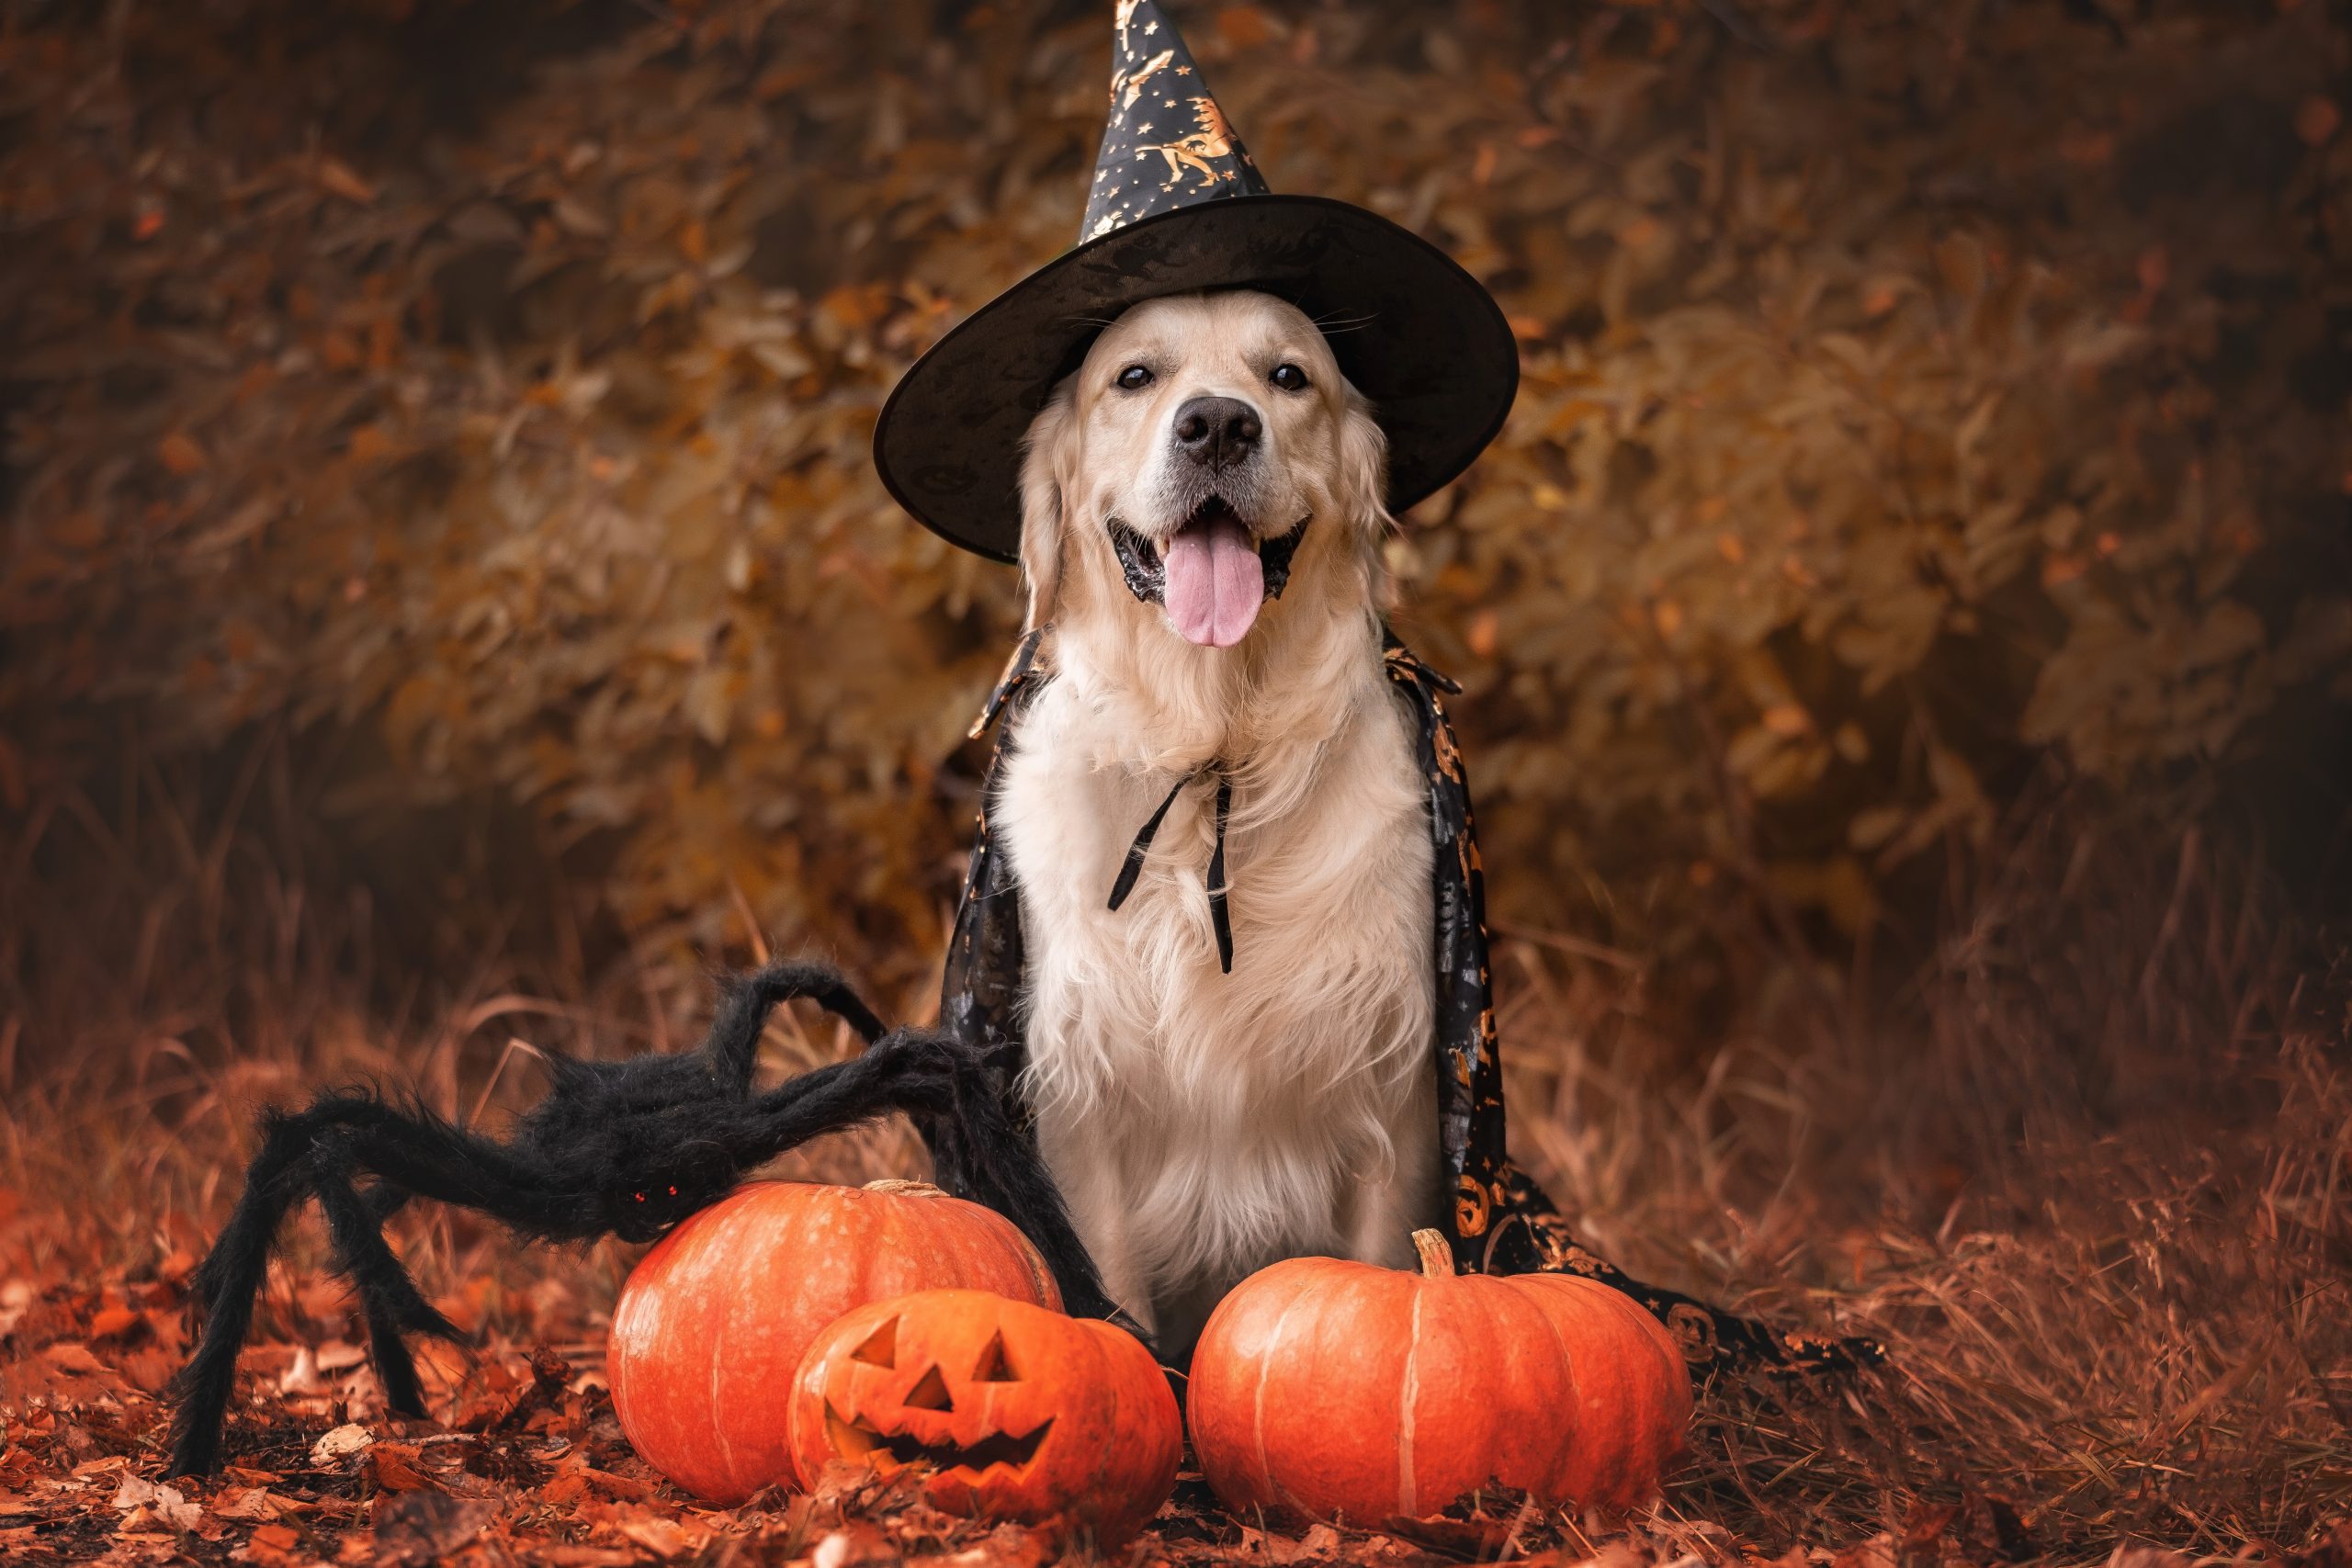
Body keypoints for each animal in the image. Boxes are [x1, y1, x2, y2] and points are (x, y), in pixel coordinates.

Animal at [988, 291, 1430, 1354]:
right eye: (1134, 376)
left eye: (1289, 376)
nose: (1219, 425)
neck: (1211, 752)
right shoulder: (1083, 1097)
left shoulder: (1391, 1093)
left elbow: (1387, 1264)